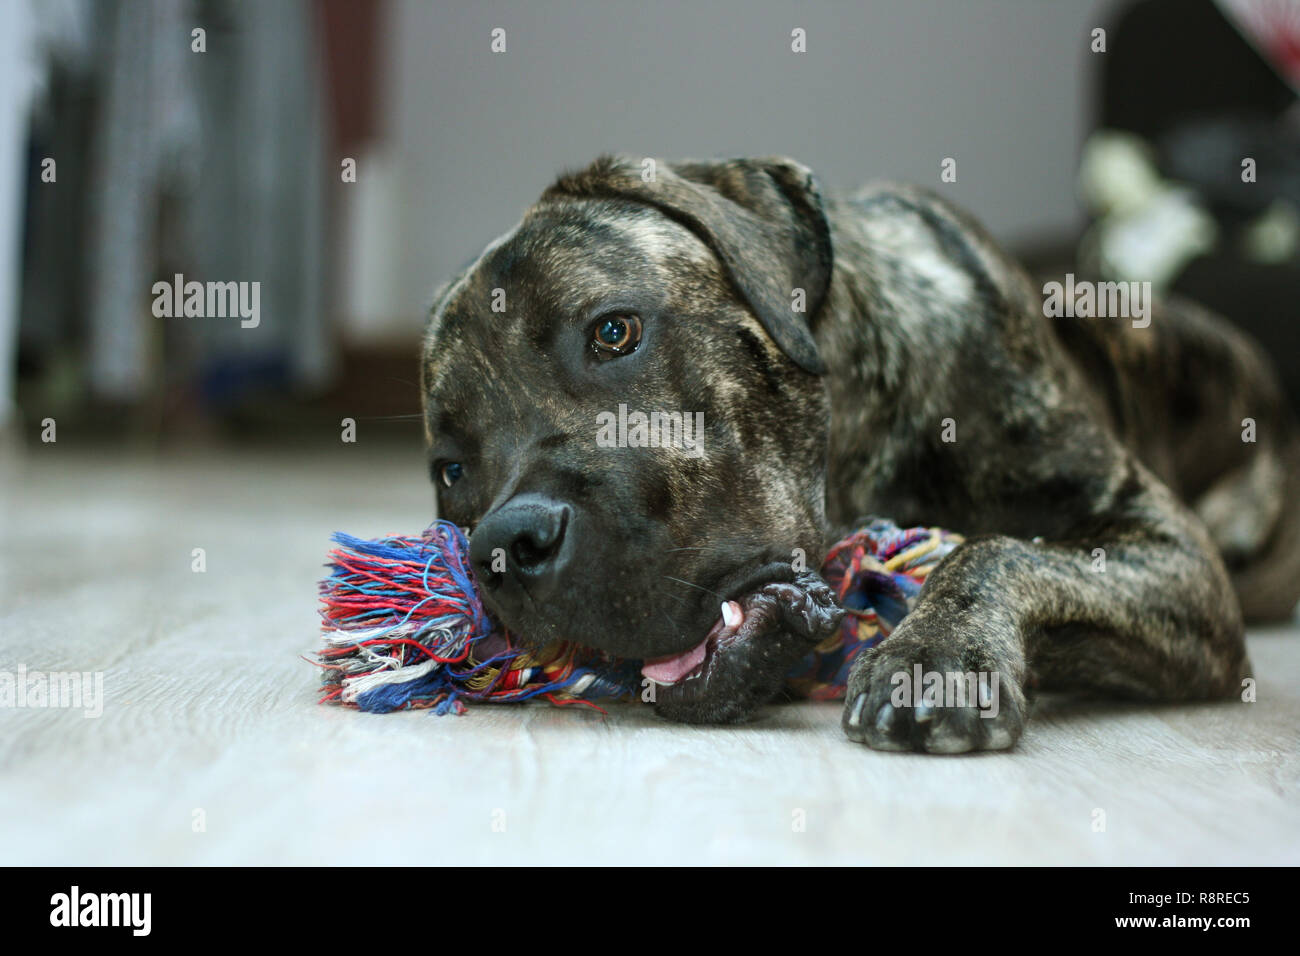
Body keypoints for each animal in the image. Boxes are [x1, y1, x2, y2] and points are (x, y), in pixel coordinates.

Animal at [418, 155, 1300, 754]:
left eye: (613, 331)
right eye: (452, 469)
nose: (505, 546)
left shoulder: (1168, 545)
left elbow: (1001, 549)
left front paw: (936, 654)